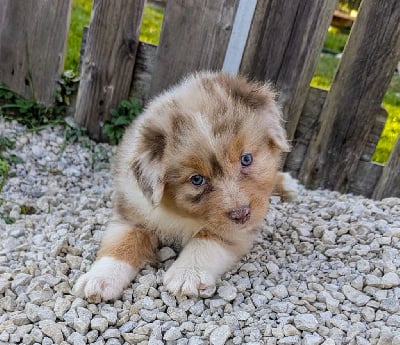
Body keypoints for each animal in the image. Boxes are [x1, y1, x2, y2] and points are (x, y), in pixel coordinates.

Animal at [73, 71, 296, 300]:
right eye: (197, 179)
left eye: (246, 159)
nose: (241, 214)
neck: (182, 215)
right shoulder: (131, 210)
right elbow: (121, 241)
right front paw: (100, 278)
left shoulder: (236, 229)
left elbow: (208, 238)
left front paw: (188, 273)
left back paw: (287, 185)